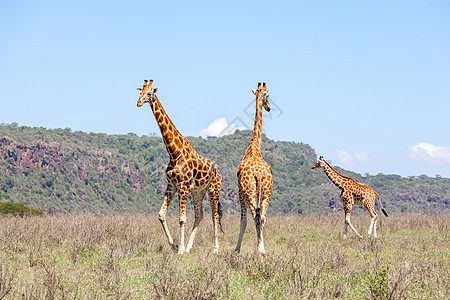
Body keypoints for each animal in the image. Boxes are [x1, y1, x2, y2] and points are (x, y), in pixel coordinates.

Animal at [136, 78, 222, 254]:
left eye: (150, 93)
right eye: (140, 92)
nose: (139, 103)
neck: (174, 152)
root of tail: (219, 172)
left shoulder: (183, 185)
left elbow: (182, 218)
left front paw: (180, 249)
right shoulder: (172, 185)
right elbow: (161, 215)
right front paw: (175, 246)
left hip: (213, 190)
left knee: (215, 216)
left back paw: (216, 249)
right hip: (198, 192)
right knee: (200, 215)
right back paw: (189, 247)